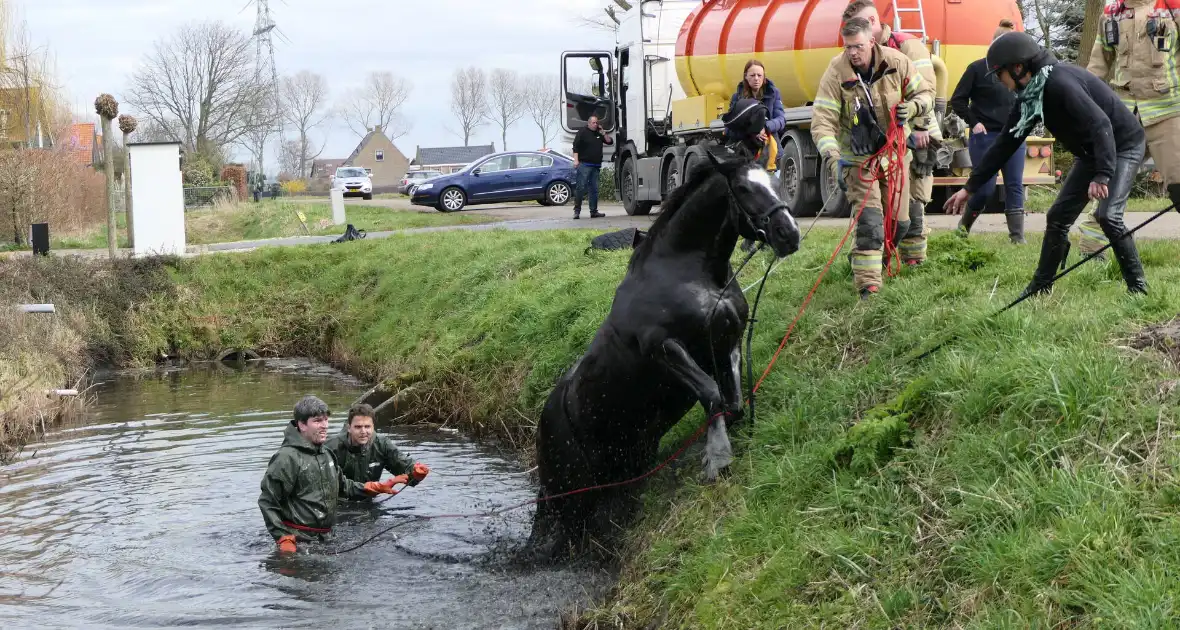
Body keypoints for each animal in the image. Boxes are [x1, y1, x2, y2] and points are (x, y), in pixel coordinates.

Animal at [533, 148, 802, 559]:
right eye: (743, 188)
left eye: (775, 181)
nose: (789, 234)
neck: (690, 273)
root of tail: (544, 420)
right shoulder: (665, 348)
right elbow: (710, 392)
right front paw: (717, 458)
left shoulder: (727, 343)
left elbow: (733, 402)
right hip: (567, 489)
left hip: (619, 467)